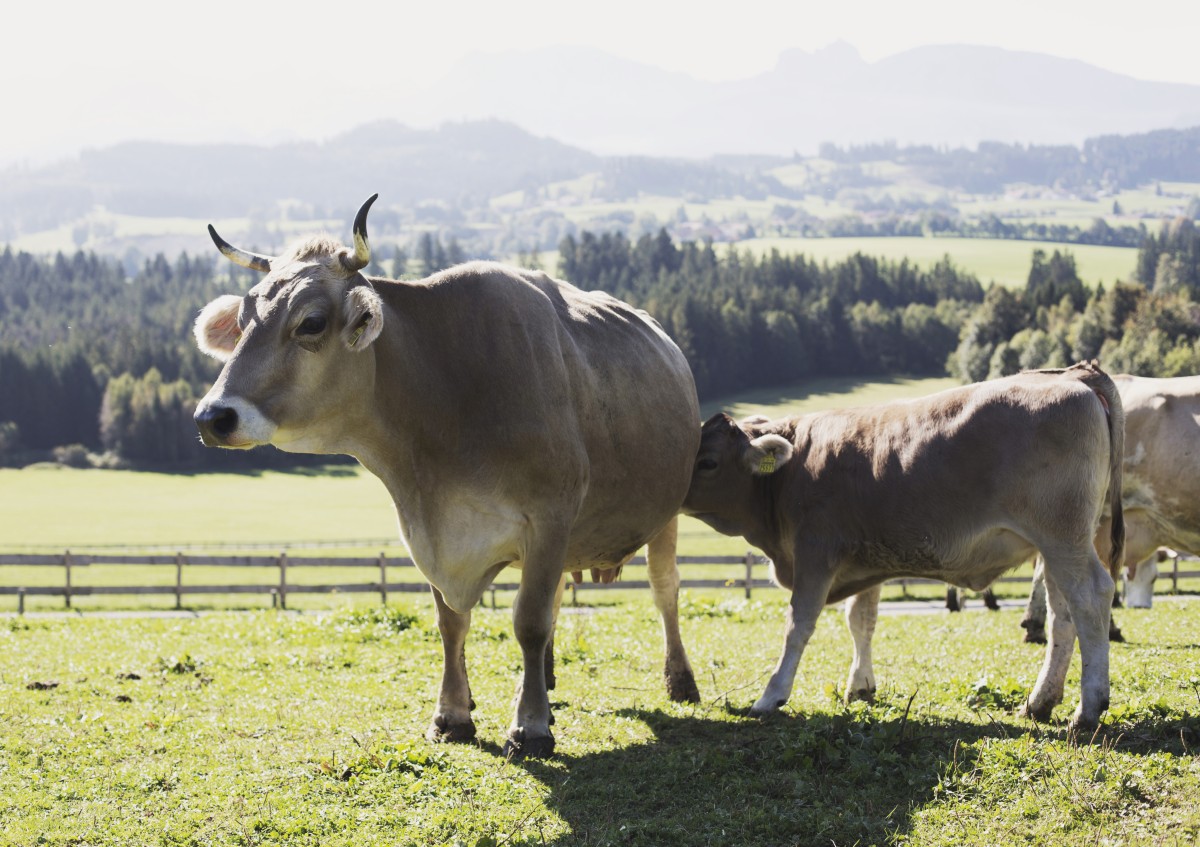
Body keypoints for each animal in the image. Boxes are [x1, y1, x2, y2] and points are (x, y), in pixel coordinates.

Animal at [190, 194, 700, 753]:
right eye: (243, 320)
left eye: (311, 323)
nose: (213, 417)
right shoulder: (428, 530)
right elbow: (451, 623)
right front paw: (454, 714)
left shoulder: (549, 516)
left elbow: (529, 621)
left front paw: (530, 727)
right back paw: (542, 682)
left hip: (665, 511)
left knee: (664, 588)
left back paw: (679, 680)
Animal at [686, 364, 1123, 734]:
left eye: (707, 462)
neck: (790, 471)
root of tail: (1072, 375)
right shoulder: (863, 559)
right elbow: (861, 620)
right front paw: (860, 686)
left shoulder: (816, 551)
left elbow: (799, 625)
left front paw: (771, 695)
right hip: (1058, 544)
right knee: (1061, 615)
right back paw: (1040, 702)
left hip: (1062, 535)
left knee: (1090, 597)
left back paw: (1088, 708)